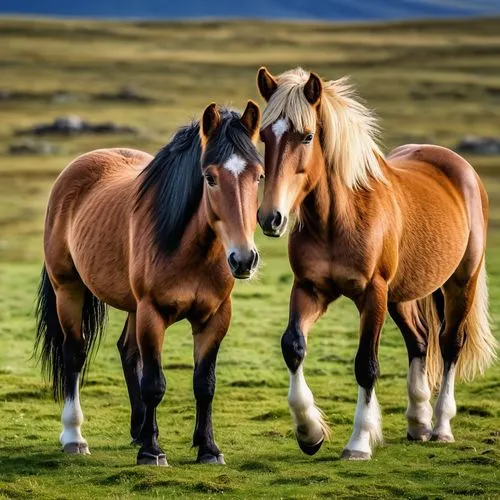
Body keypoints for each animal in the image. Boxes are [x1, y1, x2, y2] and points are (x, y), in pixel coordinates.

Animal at [34, 100, 266, 464]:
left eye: (259, 175)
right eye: (210, 178)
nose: (243, 259)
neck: (190, 251)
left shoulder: (215, 317)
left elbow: (205, 383)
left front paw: (208, 448)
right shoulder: (152, 312)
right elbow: (155, 383)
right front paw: (152, 452)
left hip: (130, 305)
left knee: (128, 351)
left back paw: (137, 429)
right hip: (68, 289)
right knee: (74, 353)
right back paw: (74, 437)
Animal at [258, 67, 496, 460]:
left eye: (307, 136)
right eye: (263, 136)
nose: (270, 218)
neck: (337, 219)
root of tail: (460, 167)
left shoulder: (373, 294)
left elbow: (366, 366)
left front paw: (359, 442)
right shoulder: (310, 289)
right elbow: (292, 346)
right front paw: (309, 432)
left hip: (461, 282)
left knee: (450, 344)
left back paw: (441, 427)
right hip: (402, 295)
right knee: (420, 340)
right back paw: (418, 423)